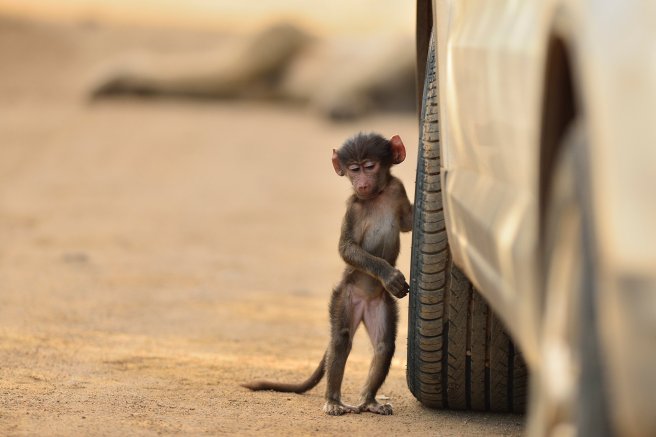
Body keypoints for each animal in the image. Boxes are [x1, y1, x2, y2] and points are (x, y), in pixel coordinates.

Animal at [243, 132, 413, 416]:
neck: (376, 196)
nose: (361, 184)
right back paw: (333, 400)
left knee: (384, 345)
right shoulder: (353, 208)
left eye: (369, 166)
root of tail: (364, 302)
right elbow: (346, 249)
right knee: (341, 340)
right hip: (345, 298)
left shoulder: (397, 189)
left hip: (379, 305)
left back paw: (369, 401)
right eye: (354, 169)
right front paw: (390, 276)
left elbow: (408, 225)